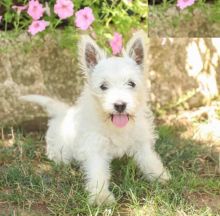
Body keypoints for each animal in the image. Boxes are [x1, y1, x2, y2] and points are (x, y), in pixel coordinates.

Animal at [20, 31, 170, 205]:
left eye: (131, 83)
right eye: (103, 86)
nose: (120, 105)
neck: (114, 126)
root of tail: (63, 113)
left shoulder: (141, 142)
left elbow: (149, 159)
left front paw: (160, 175)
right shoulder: (95, 148)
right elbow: (98, 173)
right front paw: (101, 196)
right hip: (61, 150)